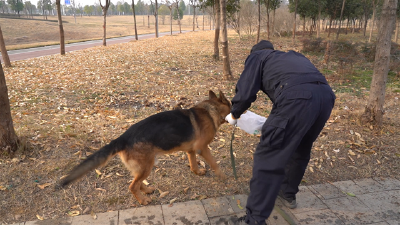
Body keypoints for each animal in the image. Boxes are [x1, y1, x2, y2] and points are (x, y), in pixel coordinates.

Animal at [57, 90, 230, 206]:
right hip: (147, 165)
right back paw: (143, 199)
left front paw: (197, 172)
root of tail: (122, 138)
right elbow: (214, 163)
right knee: (132, 186)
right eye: (231, 104)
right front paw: (223, 176)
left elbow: (193, 164)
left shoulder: (191, 150)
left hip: (143, 166)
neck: (211, 110)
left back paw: (146, 190)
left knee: (137, 181)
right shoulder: (203, 148)